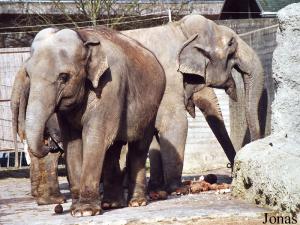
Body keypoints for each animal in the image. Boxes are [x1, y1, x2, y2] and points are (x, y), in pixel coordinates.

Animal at [10, 25, 165, 216]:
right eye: (29, 75)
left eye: (64, 77)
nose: (49, 145)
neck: (83, 37)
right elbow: (72, 141)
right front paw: (76, 208)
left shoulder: (110, 85)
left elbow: (95, 136)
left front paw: (85, 211)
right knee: (113, 148)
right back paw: (111, 204)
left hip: (152, 107)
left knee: (139, 146)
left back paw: (137, 202)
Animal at [123, 13, 264, 193]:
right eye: (231, 43)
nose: (233, 171)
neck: (180, 29)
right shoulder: (168, 78)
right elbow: (176, 123)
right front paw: (177, 189)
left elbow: (154, 131)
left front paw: (157, 187)